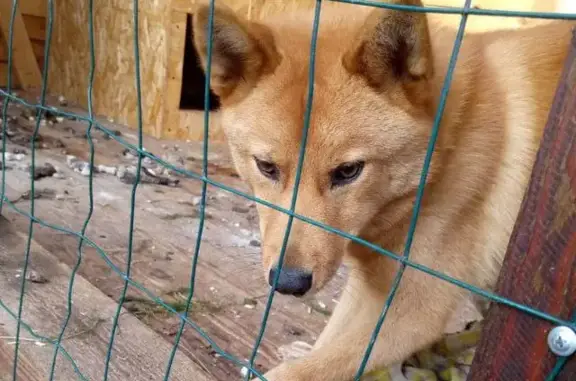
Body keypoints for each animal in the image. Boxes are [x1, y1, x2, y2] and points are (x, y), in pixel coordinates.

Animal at [191, 1, 572, 378]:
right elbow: (325, 342)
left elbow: (305, 370)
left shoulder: (411, 313)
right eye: (266, 167)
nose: (287, 283)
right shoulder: (369, 288)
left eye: (348, 171)